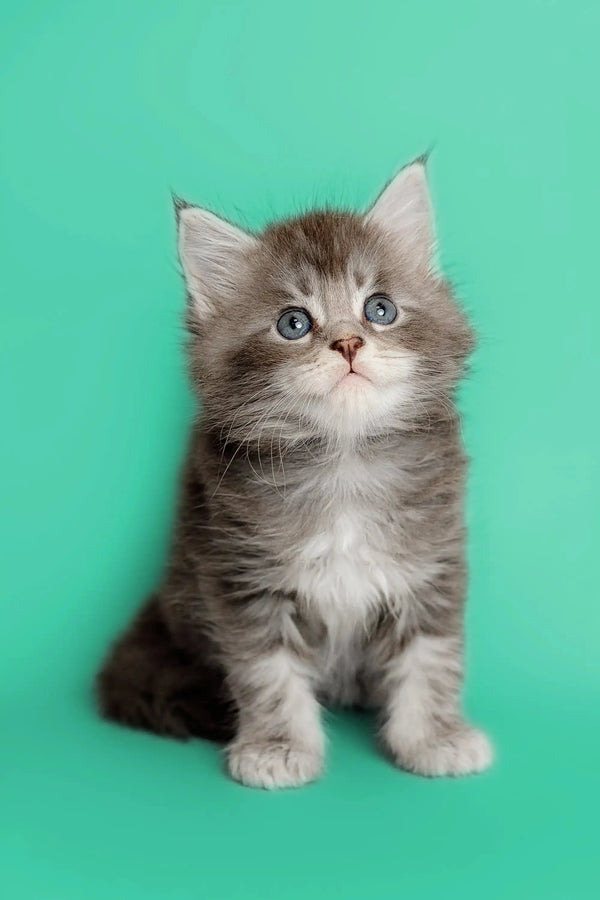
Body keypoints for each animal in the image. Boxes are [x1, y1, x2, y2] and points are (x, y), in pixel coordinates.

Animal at [97, 160, 492, 788]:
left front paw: (433, 737)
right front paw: (278, 747)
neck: (344, 462)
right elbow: (268, 674)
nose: (349, 343)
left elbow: (429, 656)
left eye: (380, 309)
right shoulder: (242, 577)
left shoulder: (430, 564)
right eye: (293, 323)